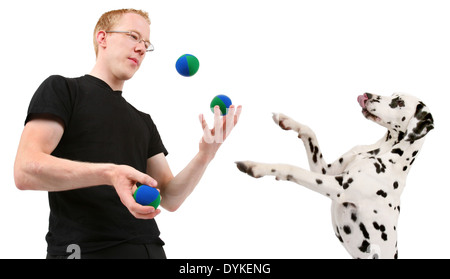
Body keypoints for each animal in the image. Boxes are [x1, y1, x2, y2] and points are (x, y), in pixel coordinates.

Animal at [237, 93, 434, 260]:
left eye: (399, 102)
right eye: (393, 95)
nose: (367, 95)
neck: (381, 152)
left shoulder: (339, 187)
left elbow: (293, 169)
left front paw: (256, 166)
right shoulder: (325, 170)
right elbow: (310, 132)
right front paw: (286, 120)